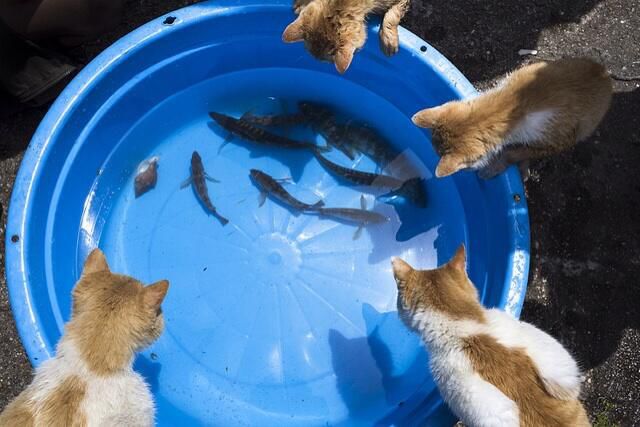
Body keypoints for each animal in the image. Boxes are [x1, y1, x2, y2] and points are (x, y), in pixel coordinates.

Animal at [412, 57, 612, 179]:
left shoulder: (558, 140)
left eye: (466, 167)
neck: (512, 106)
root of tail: (605, 71)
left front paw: (493, 168)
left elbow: (513, 153)